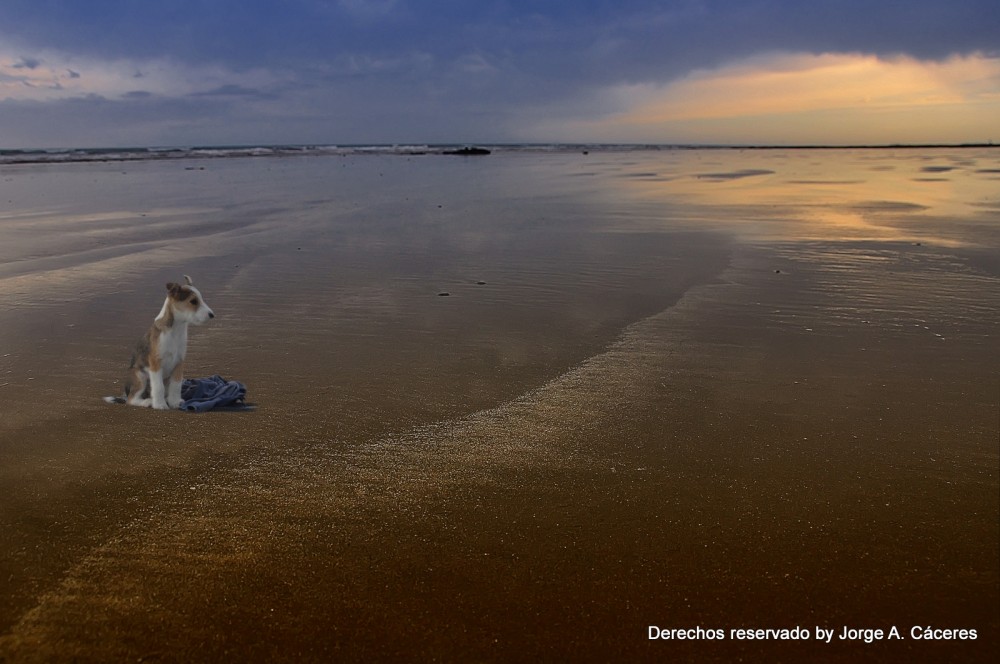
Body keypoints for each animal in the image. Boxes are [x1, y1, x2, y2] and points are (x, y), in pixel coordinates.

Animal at [105, 274, 215, 410]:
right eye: (193, 301)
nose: (212, 315)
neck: (175, 331)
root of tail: (125, 393)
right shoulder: (156, 364)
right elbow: (158, 388)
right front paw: (160, 405)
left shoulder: (179, 363)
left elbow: (176, 386)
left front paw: (175, 402)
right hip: (140, 376)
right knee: (131, 399)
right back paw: (147, 402)